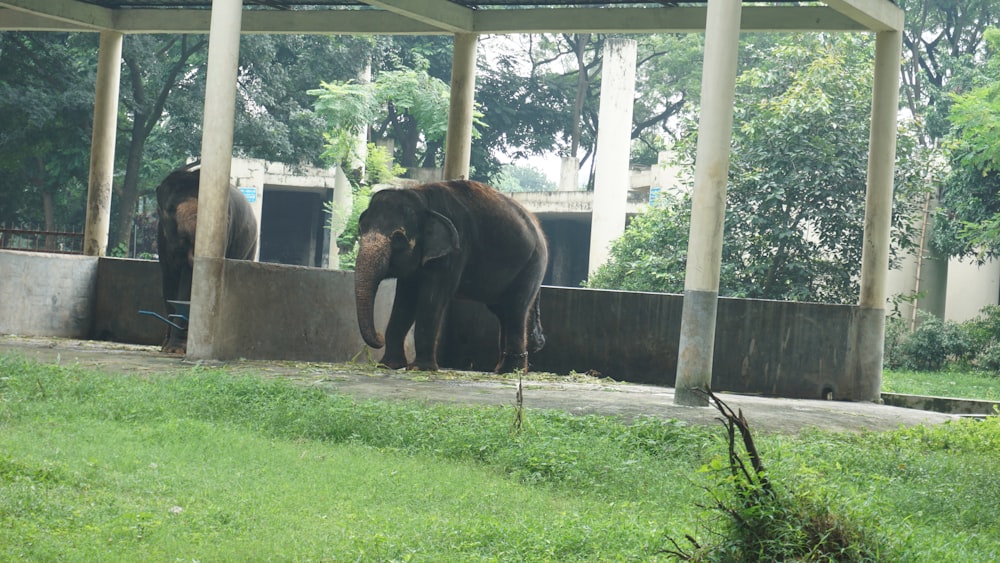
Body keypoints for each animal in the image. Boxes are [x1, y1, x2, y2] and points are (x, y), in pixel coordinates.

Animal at [155, 163, 258, 354]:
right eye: (171, 209)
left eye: (221, 216)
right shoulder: (163, 241)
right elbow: (170, 279)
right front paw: (170, 349)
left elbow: (188, 282)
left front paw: (177, 350)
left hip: (250, 247)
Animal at [358, 181, 552, 374]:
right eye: (360, 231)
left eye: (398, 238)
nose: (379, 337)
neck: (423, 198)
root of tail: (538, 226)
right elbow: (405, 300)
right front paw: (388, 365)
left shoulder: (454, 251)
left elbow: (432, 297)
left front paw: (420, 368)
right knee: (503, 311)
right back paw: (501, 369)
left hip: (533, 265)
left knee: (515, 310)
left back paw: (511, 371)